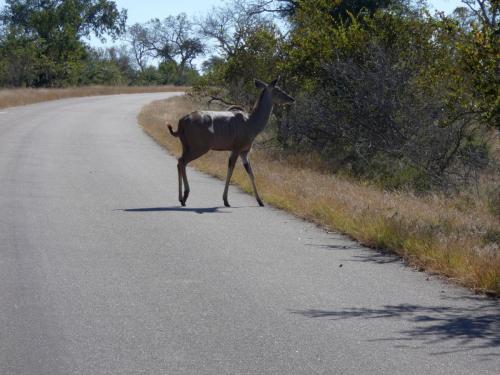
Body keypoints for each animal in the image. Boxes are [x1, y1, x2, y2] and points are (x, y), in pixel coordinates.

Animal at [168, 78, 292, 207]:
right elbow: (231, 170)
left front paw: (260, 201)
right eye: (278, 89)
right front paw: (226, 201)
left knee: (179, 162)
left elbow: (250, 172)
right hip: (199, 148)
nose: (291, 99)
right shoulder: (237, 149)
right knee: (182, 162)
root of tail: (182, 121)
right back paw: (184, 197)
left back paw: (181, 198)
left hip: (186, 147)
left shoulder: (244, 152)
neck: (250, 122)